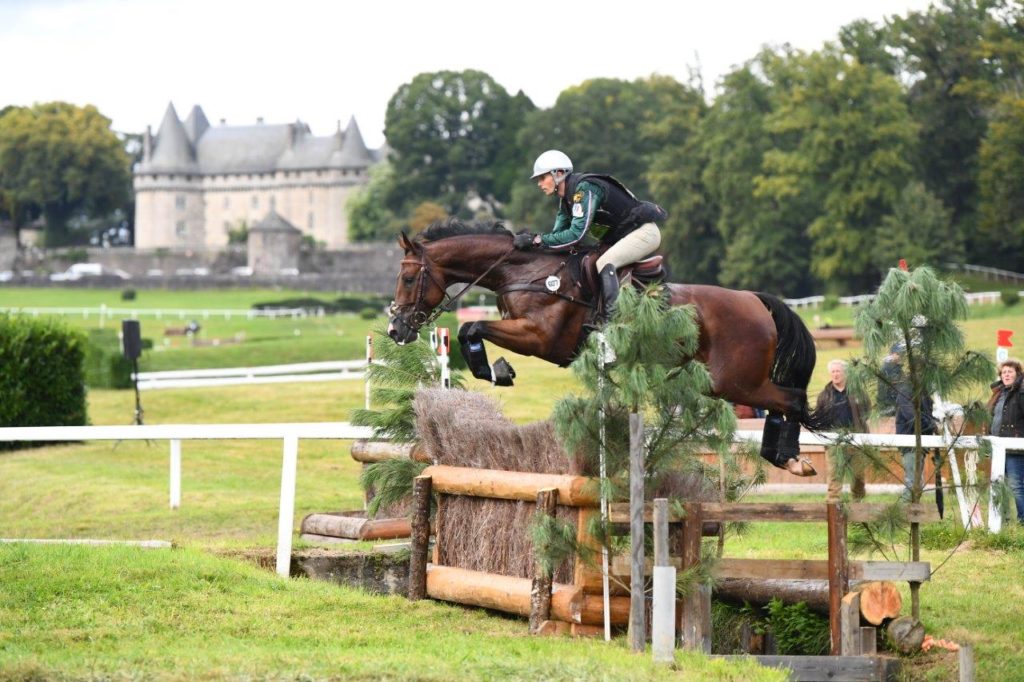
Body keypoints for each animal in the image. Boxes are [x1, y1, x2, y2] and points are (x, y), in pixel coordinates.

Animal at [385, 218, 823, 473]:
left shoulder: (539, 337)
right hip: (726, 381)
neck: (525, 270)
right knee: (787, 400)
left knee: (792, 399)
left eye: (407, 278)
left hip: (734, 381)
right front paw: (497, 370)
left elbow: (471, 327)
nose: (395, 329)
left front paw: (497, 370)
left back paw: (790, 459)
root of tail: (755, 301)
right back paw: (784, 456)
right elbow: (469, 330)